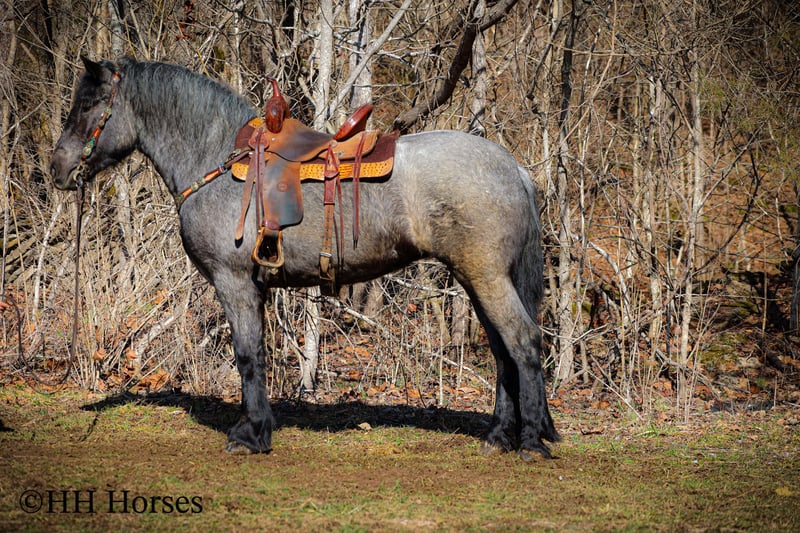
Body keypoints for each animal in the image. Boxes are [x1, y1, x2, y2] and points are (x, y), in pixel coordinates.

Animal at [50, 56, 559, 459]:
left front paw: (251, 435)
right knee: (502, 352)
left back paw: (531, 441)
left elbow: (248, 355)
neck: (218, 161)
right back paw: (499, 435)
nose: (58, 168)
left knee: (524, 342)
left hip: (486, 277)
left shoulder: (233, 283)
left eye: (89, 104)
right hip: (479, 279)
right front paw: (255, 427)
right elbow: (256, 354)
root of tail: (513, 168)